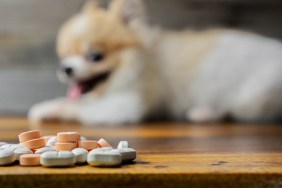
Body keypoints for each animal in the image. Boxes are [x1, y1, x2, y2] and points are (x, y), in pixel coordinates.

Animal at [28, 0, 282, 125]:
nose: (66, 68)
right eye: (63, 55)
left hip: (250, 99)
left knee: (235, 111)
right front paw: (47, 108)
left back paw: (204, 113)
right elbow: (76, 101)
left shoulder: (127, 104)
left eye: (94, 56)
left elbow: (77, 107)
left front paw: (52, 109)